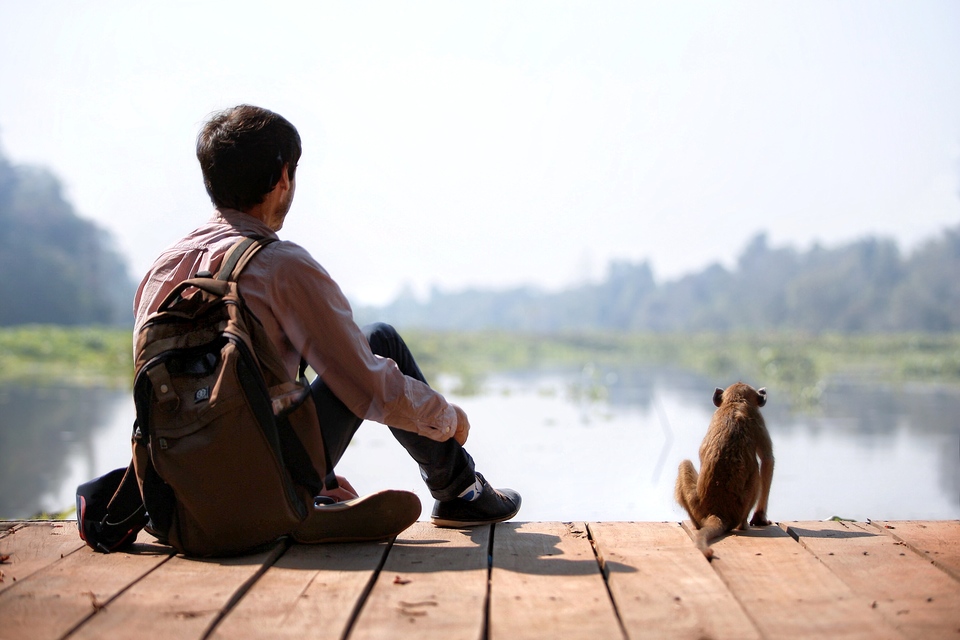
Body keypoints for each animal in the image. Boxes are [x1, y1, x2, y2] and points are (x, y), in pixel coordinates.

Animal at [676, 382, 772, 556]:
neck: (735, 402)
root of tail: (718, 512)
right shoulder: (757, 418)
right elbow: (767, 460)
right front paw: (760, 518)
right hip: (740, 508)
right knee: (756, 473)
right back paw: (743, 525)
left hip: (696, 505)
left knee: (684, 463)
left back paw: (696, 524)